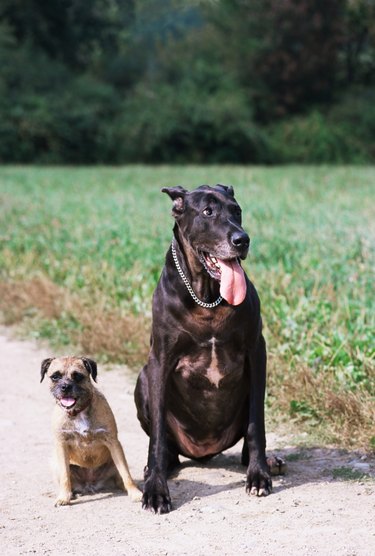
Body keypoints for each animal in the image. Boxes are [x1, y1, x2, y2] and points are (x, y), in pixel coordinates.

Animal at [40, 354, 142, 506]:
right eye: (55, 376)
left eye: (78, 376)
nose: (65, 387)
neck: (78, 411)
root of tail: (89, 484)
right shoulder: (61, 444)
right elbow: (65, 476)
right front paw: (64, 497)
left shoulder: (113, 442)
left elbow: (126, 473)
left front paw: (135, 493)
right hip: (54, 462)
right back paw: (70, 493)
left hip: (114, 462)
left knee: (121, 477)